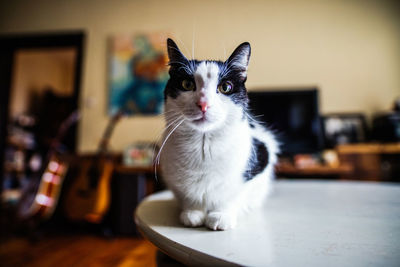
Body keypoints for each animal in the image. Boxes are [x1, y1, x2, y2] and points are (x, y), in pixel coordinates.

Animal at [159, 38, 278, 231]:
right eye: (187, 84)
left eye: (225, 87)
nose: (203, 104)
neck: (203, 145)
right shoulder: (176, 179)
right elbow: (189, 195)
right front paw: (193, 213)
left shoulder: (258, 160)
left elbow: (230, 194)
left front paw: (221, 216)